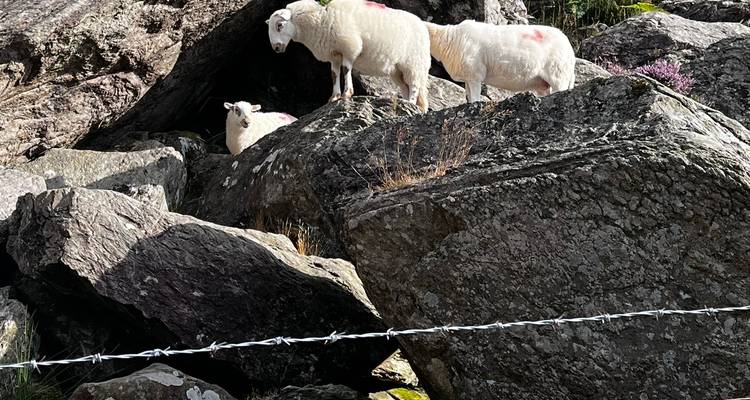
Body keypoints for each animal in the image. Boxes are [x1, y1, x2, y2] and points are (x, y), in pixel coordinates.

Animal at [267, 0, 431, 112]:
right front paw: (334, 97)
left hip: (413, 64)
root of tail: (422, 25)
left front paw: (347, 94)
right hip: (398, 70)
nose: (276, 48)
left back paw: (410, 102)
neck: (320, 20)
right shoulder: (334, 55)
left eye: (279, 25)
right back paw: (408, 103)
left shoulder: (349, 48)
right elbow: (334, 74)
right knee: (406, 86)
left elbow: (346, 70)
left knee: (414, 85)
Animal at [425, 20, 576, 103]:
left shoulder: (475, 74)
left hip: (558, 74)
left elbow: (475, 99)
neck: (448, 38)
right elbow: (469, 97)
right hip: (543, 84)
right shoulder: (468, 76)